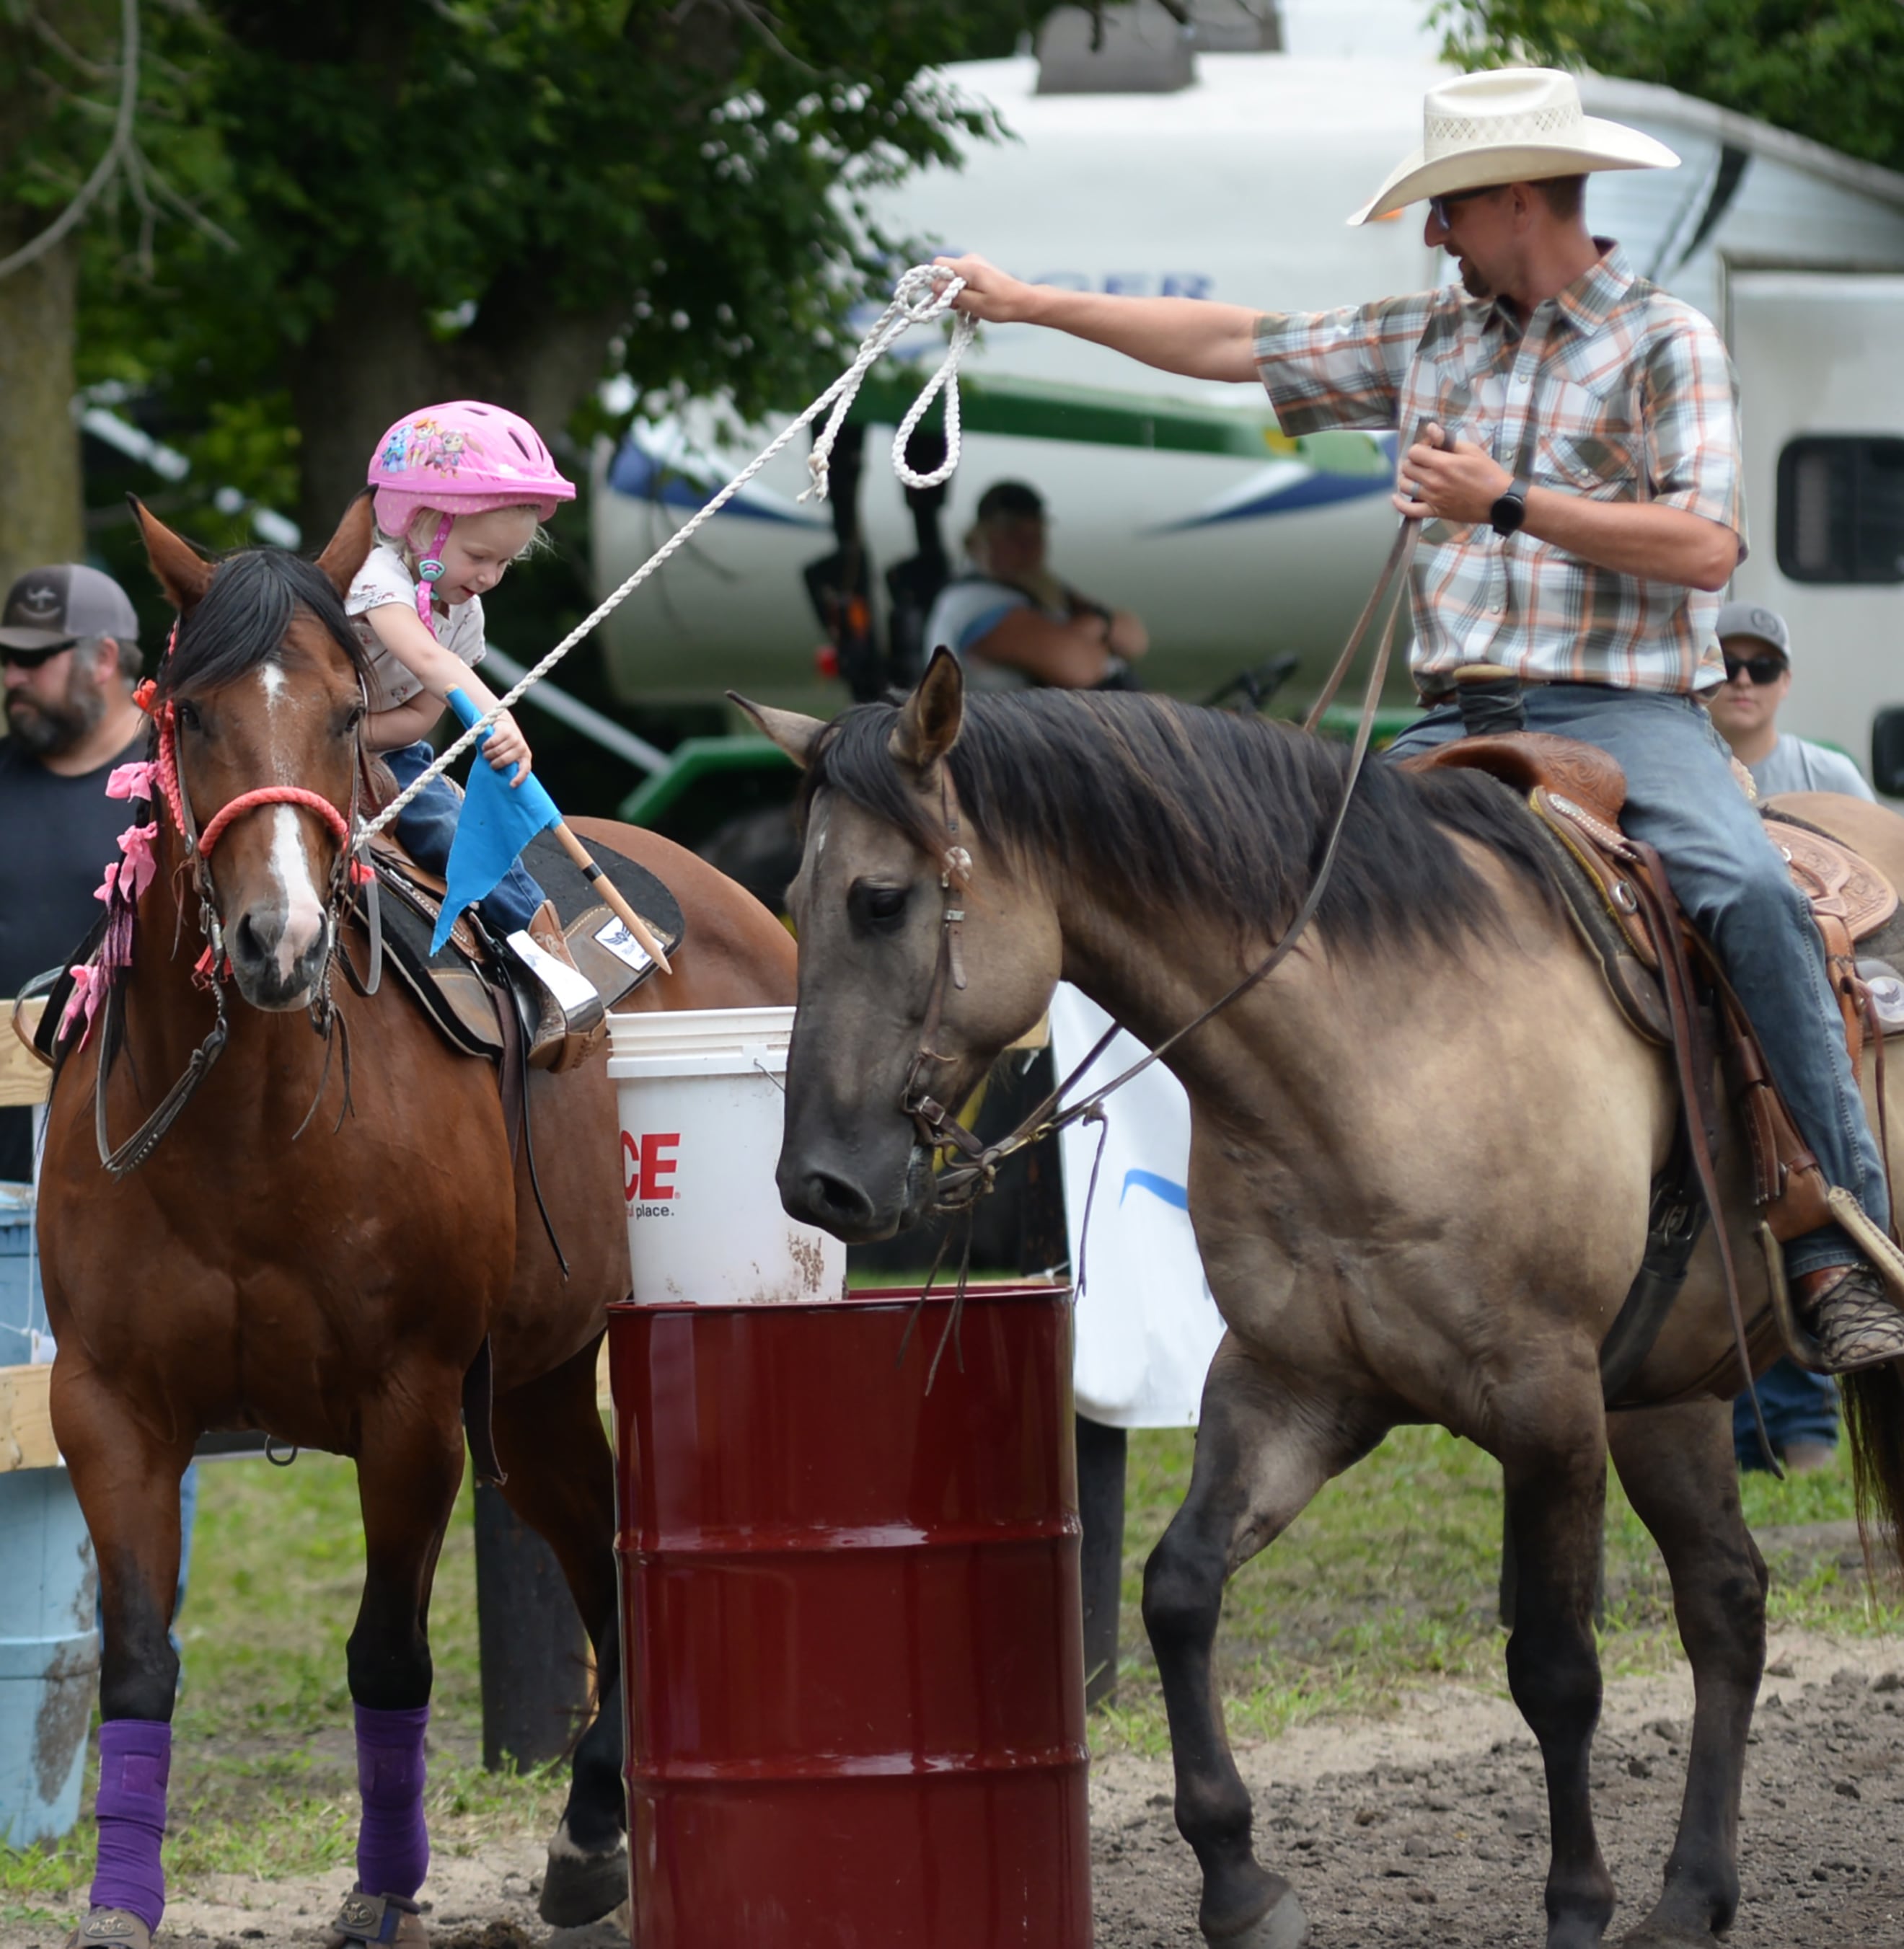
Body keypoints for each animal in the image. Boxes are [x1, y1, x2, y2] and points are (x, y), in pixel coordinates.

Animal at [37, 495, 795, 1941]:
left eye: (345, 715)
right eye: (192, 713)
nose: (277, 940)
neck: (246, 1131)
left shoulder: (411, 1406)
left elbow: (388, 1653)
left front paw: (382, 1889)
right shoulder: (108, 1408)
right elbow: (140, 1661)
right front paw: (119, 1899)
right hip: (541, 1388)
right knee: (607, 1566)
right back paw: (591, 1831)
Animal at [752, 655, 1902, 1949]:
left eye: (882, 899)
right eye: (790, 892)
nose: (817, 1182)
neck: (1380, 1042)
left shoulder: (1548, 1402)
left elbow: (1556, 1667)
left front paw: (1574, 1905)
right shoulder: (1296, 1379)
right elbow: (1179, 1587)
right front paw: (1242, 1884)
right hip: (1670, 1393)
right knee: (1726, 1600)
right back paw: (1691, 1895)